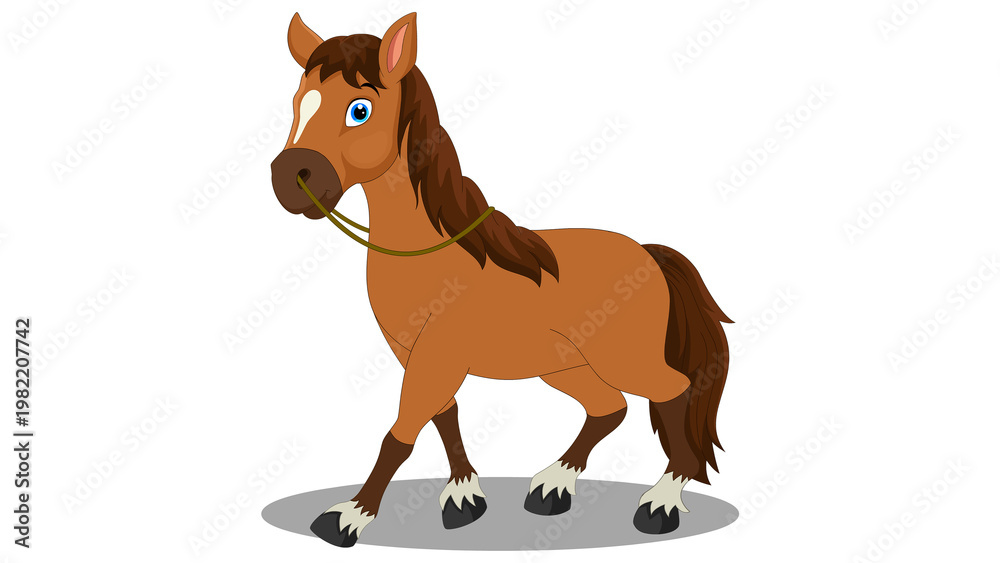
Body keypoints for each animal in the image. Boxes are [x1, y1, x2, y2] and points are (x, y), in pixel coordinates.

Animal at [270, 12, 733, 548]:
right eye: (299, 102)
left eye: (359, 110)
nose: (289, 179)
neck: (430, 254)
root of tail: (648, 253)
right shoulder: (415, 356)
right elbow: (443, 416)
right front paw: (464, 497)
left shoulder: (437, 357)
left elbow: (401, 434)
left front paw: (350, 516)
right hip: (565, 365)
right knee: (609, 408)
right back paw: (554, 486)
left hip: (624, 357)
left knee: (674, 392)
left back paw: (661, 503)